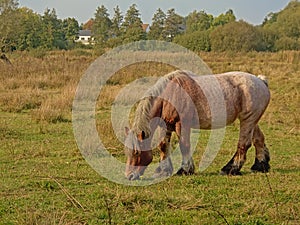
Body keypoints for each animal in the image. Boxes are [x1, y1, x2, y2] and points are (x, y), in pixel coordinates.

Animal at [123, 70, 270, 181]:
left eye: (136, 152)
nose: (129, 176)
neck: (170, 94)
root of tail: (261, 81)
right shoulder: (166, 126)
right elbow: (163, 146)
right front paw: (163, 171)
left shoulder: (182, 124)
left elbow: (184, 145)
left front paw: (185, 169)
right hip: (252, 121)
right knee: (259, 139)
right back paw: (260, 165)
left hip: (247, 120)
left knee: (243, 144)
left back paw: (231, 168)